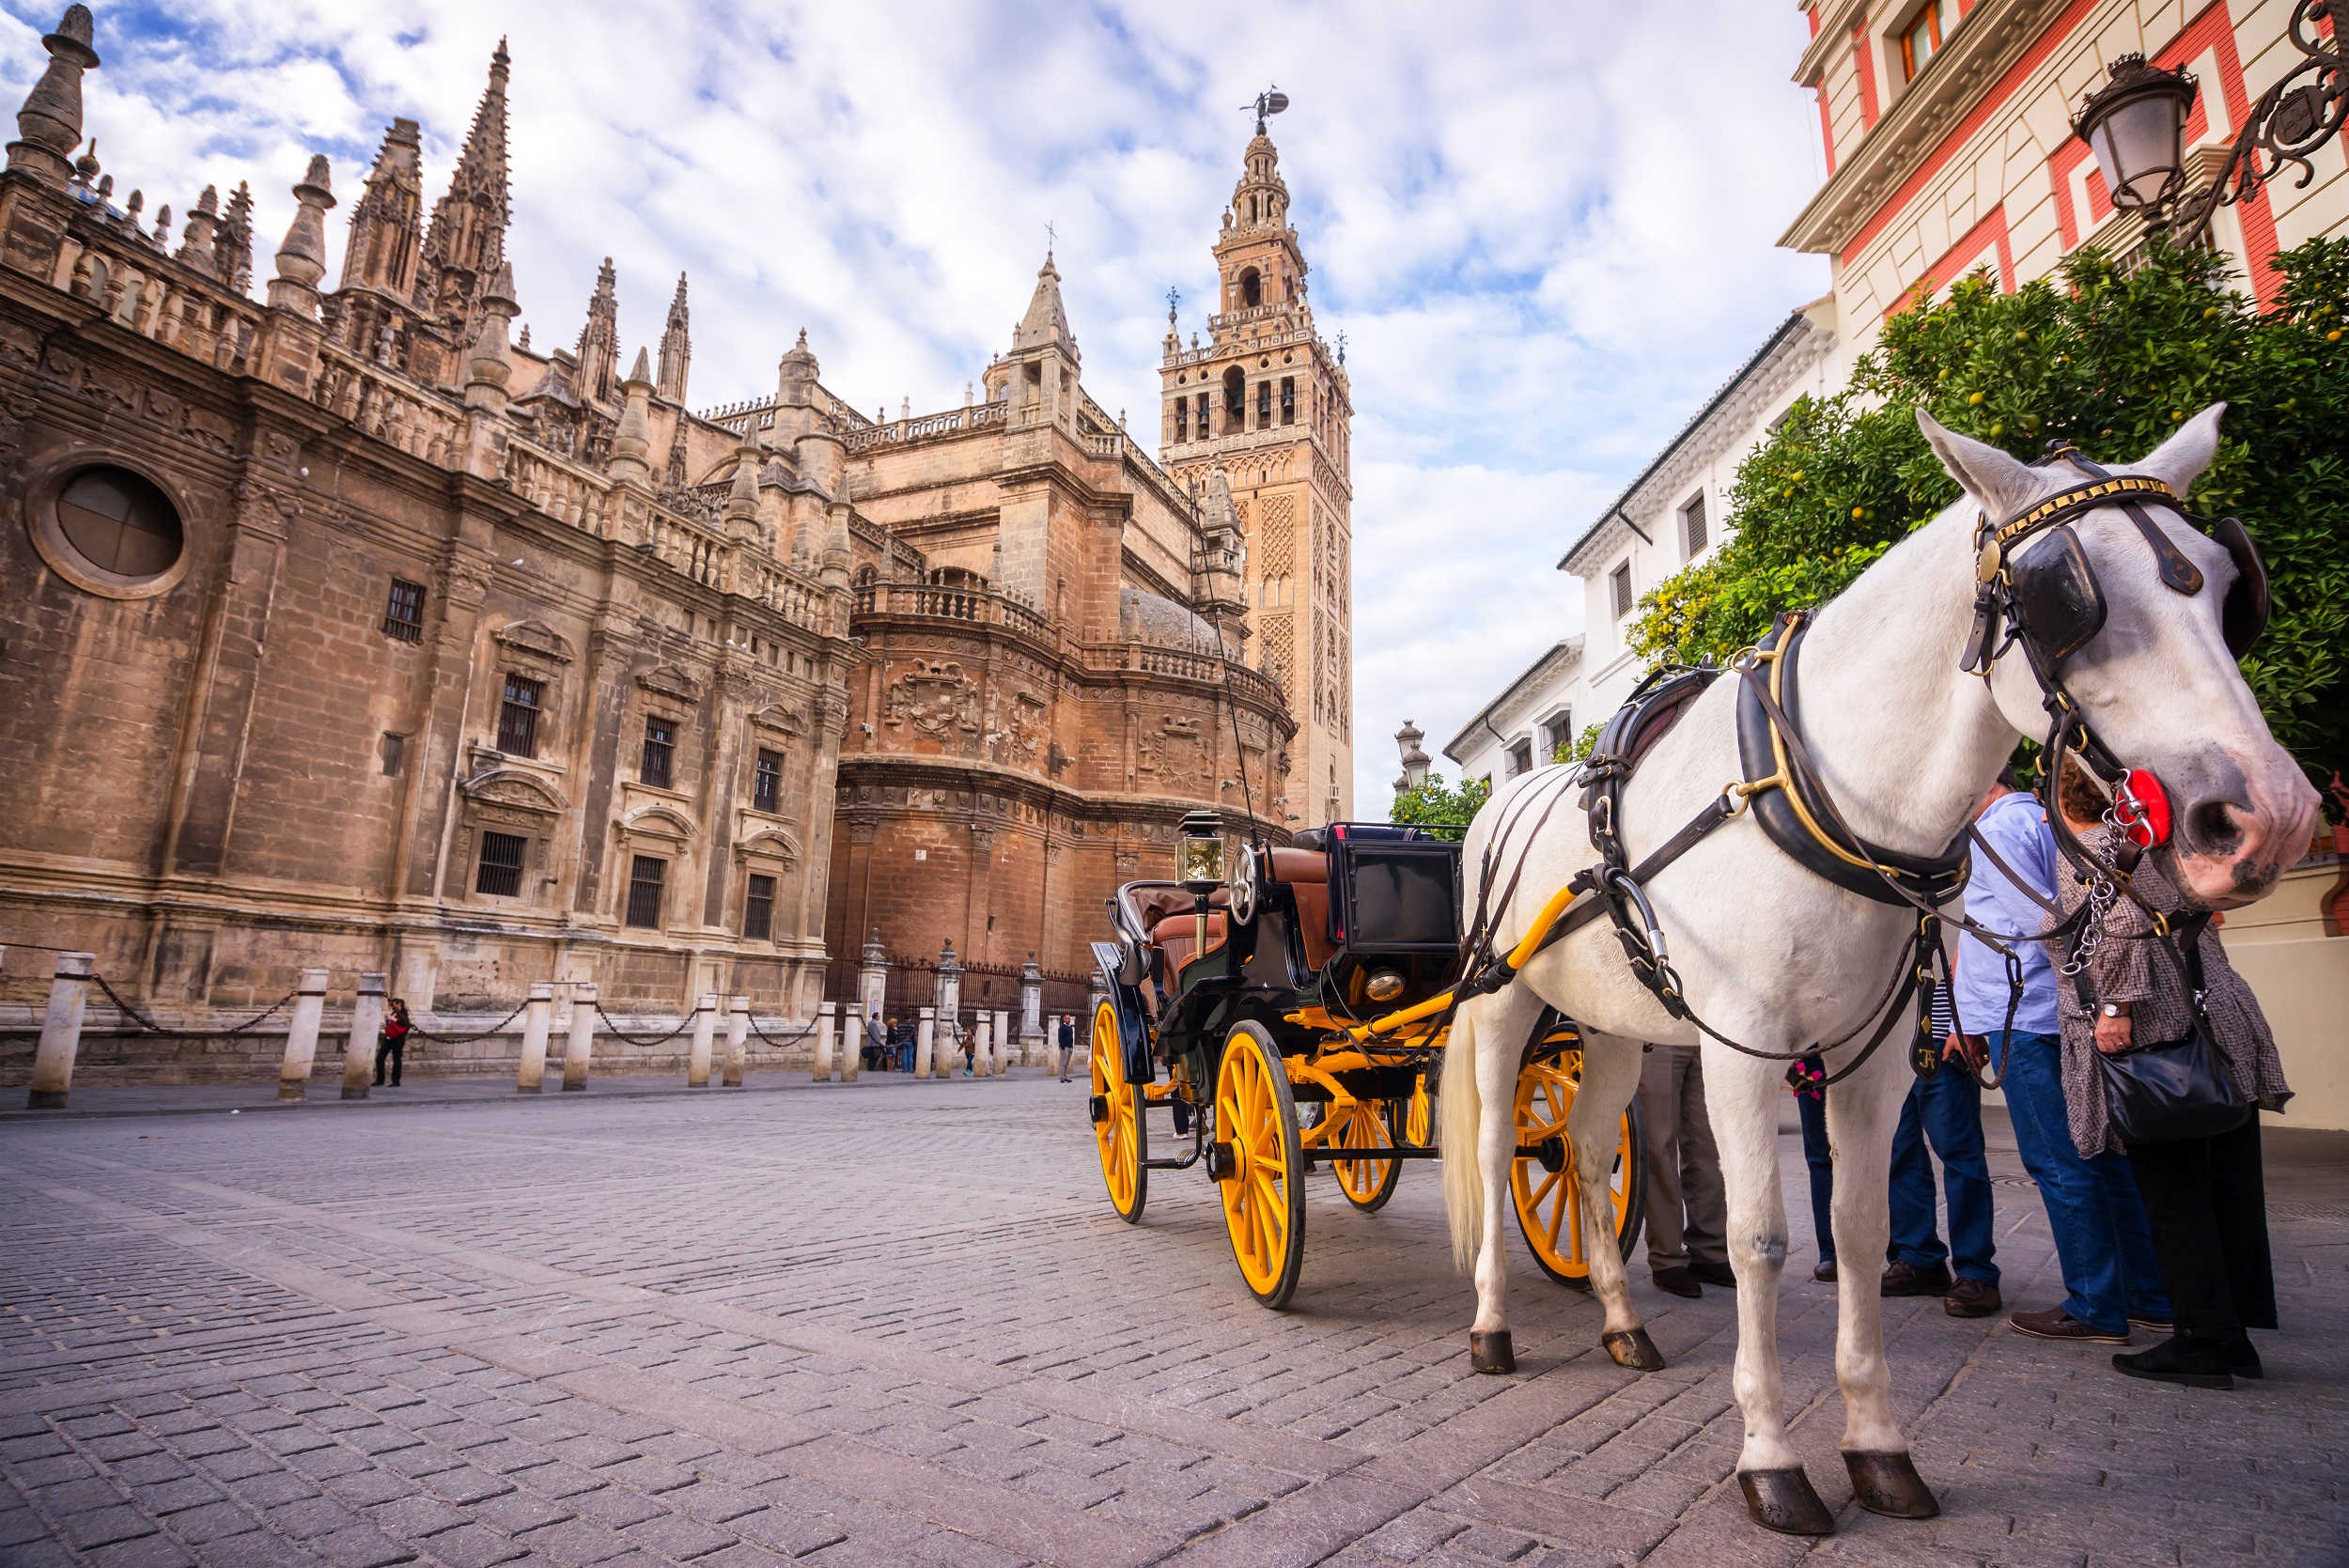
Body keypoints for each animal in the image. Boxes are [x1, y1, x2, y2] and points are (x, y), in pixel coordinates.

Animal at [1438, 411, 2321, 1540]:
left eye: (2222, 586)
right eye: (2064, 595)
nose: (2269, 815)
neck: (1820, 794)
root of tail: (1501, 806)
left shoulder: (1874, 1055)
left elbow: (1858, 1230)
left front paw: (1875, 1446)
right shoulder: (1741, 1049)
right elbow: (1764, 1237)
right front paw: (1771, 1457)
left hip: (1614, 1022)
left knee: (1587, 1153)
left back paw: (1621, 1319)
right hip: (1505, 1000)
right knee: (1496, 1145)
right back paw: (1491, 1327)